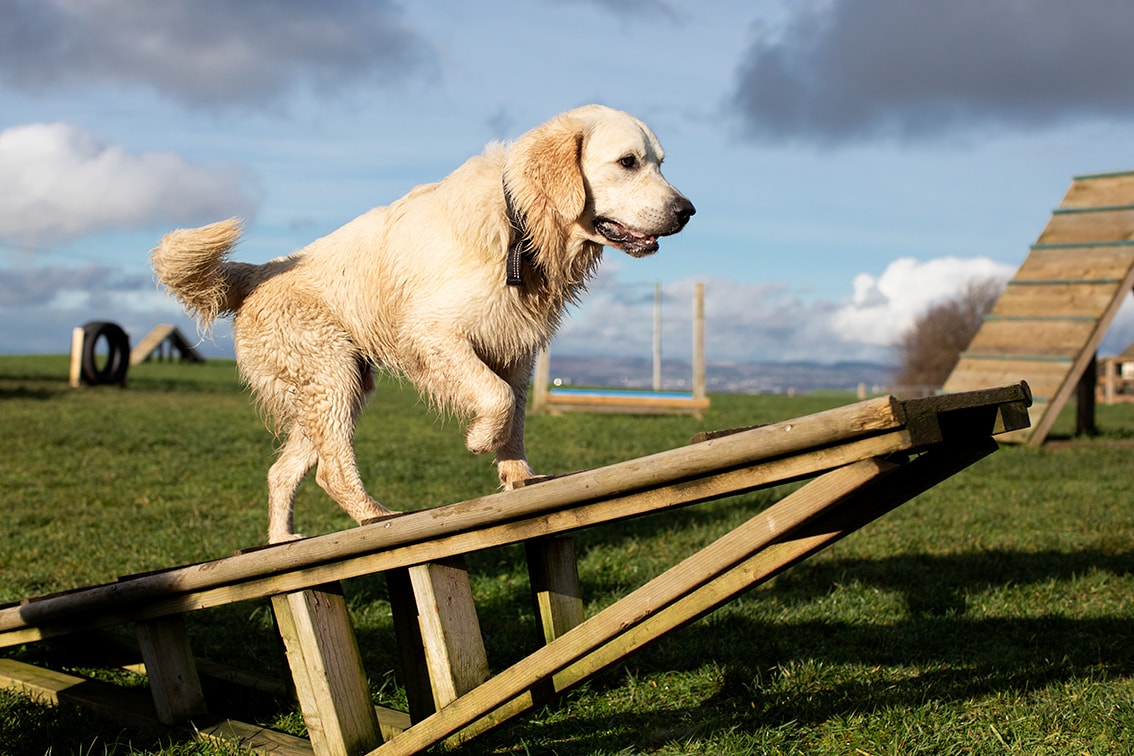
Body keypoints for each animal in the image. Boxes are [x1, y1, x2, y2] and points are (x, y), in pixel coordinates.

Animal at [153, 106, 689, 544]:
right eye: (628, 162)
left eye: (661, 162)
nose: (687, 211)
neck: (518, 224)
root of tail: (258, 271)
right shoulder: (433, 334)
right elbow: (494, 398)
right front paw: (479, 440)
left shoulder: (515, 349)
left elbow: (514, 415)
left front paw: (519, 477)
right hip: (332, 373)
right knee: (330, 470)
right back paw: (376, 517)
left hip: (333, 387)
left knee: (282, 472)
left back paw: (283, 541)